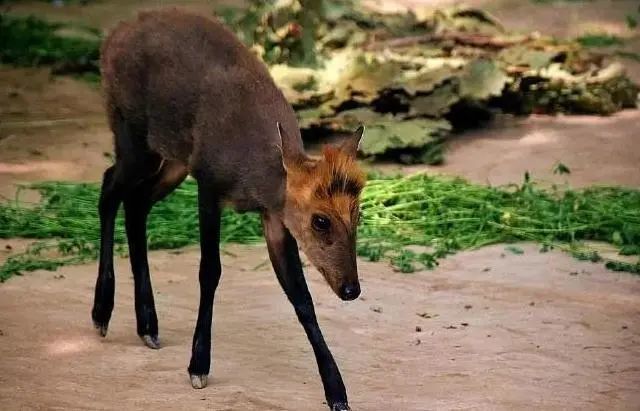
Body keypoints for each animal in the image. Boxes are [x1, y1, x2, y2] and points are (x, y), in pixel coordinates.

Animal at [92, 8, 368, 410]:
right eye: (320, 220)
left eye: (358, 214)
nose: (351, 289)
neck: (254, 177)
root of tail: (113, 35)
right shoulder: (208, 185)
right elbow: (210, 271)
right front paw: (198, 366)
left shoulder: (275, 217)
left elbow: (301, 297)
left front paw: (337, 393)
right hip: (132, 133)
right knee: (109, 187)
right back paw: (102, 314)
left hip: (174, 159)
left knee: (136, 202)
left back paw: (148, 326)